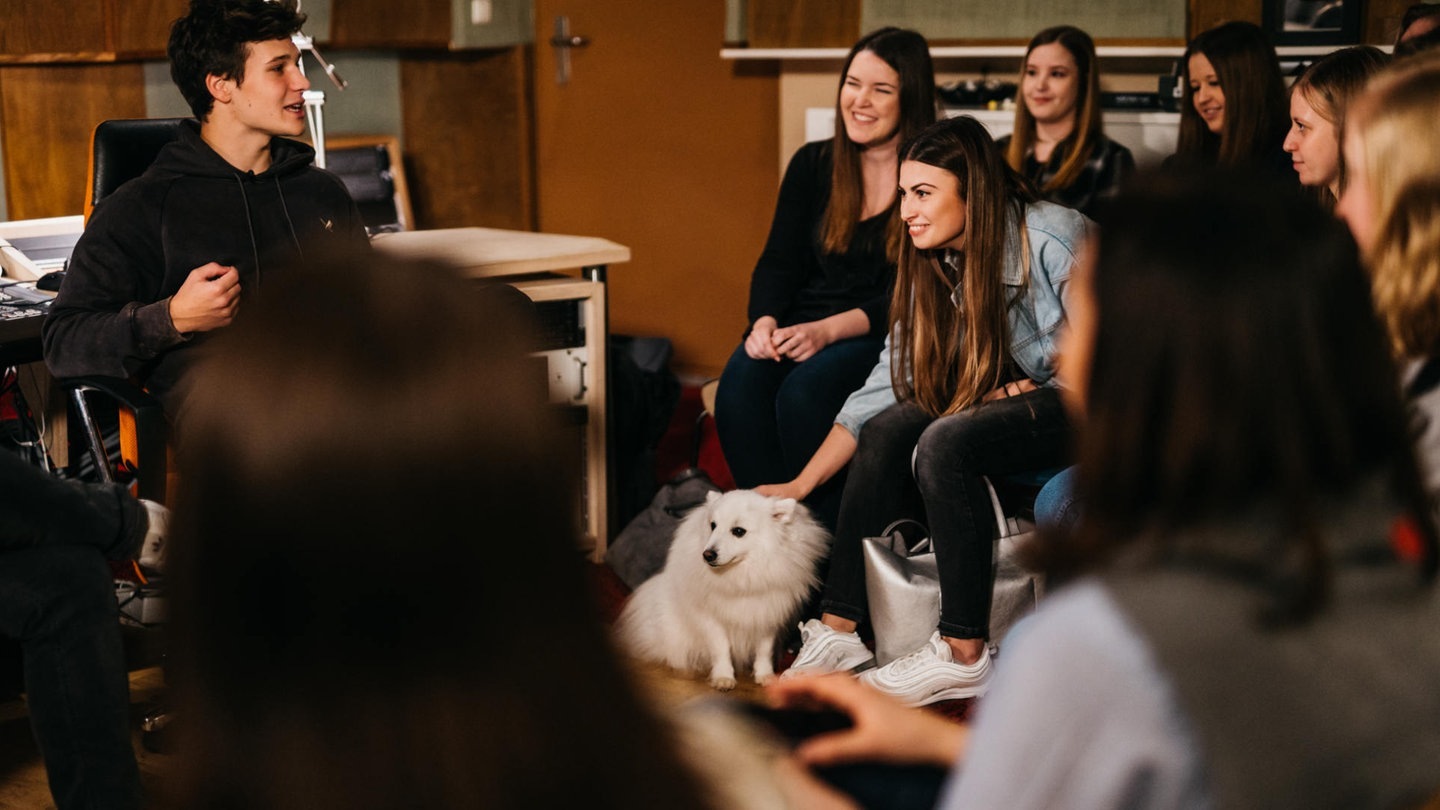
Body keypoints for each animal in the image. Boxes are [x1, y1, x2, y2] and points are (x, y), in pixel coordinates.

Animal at [619, 484, 835, 686]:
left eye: (738, 532)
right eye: (713, 525)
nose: (707, 554)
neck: (741, 575)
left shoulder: (766, 617)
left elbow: (764, 651)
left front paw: (764, 675)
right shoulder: (712, 619)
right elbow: (721, 649)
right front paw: (723, 677)